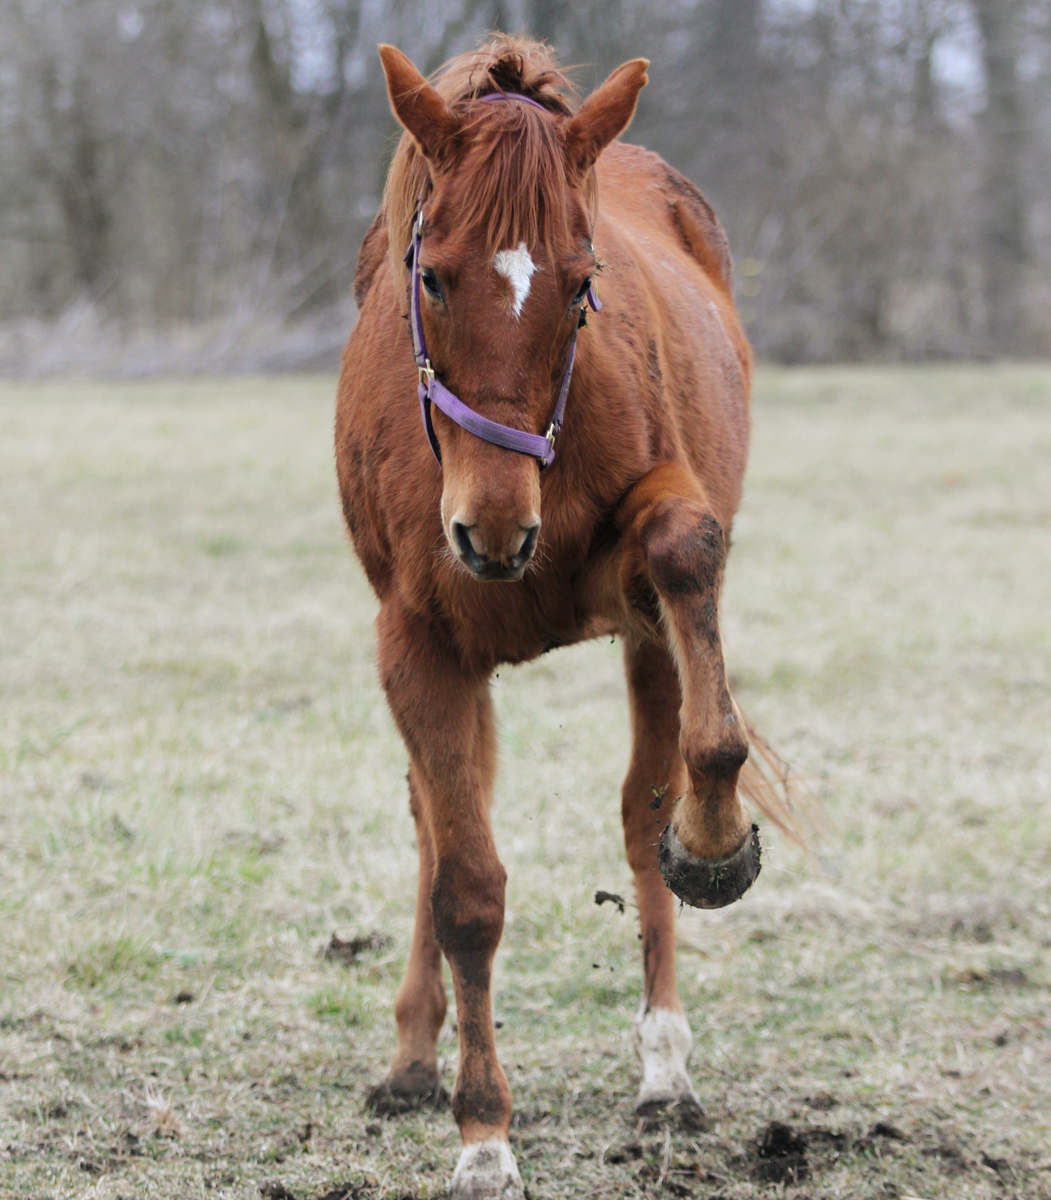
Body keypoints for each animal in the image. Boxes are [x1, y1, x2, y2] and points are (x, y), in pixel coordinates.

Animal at [335, 37, 787, 1200]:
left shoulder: (644, 580)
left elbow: (685, 551)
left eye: (583, 285)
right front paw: (483, 1135)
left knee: (639, 812)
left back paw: (664, 1066)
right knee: (434, 828)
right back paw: (412, 1059)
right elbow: (462, 888)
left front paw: (713, 842)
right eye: (431, 275)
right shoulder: (418, 647)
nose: (493, 528)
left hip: (644, 645)